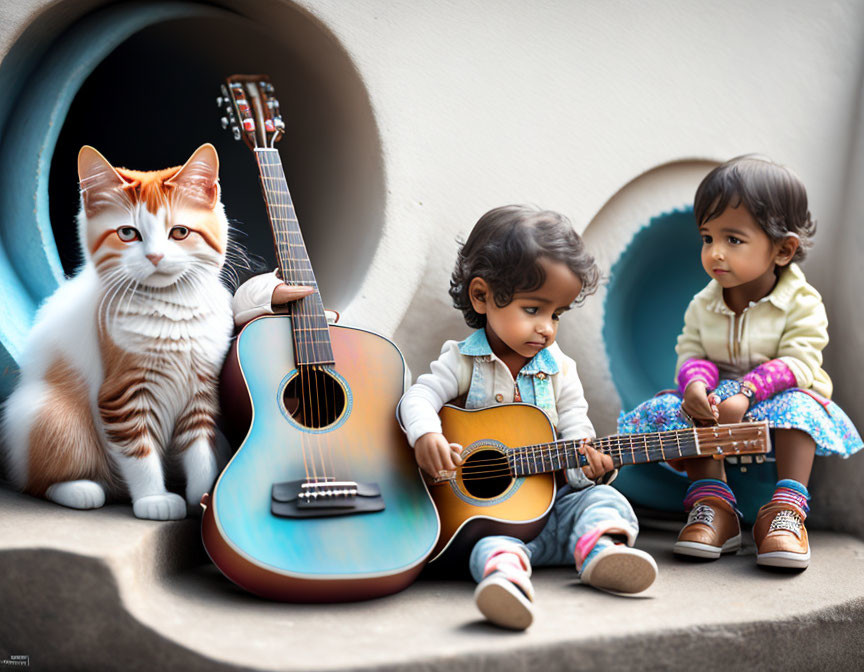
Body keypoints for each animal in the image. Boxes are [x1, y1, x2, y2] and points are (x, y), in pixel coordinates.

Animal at [1, 143, 235, 520]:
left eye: (180, 232)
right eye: (127, 233)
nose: (155, 257)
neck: (172, 310)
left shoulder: (201, 392)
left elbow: (200, 451)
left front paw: (202, 497)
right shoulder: (123, 396)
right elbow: (140, 455)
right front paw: (154, 500)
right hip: (50, 413)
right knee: (38, 483)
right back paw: (82, 490)